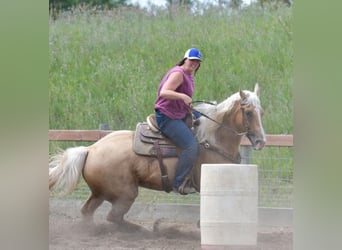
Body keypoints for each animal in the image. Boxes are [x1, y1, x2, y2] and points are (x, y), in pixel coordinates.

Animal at [49, 83, 266, 226]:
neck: (212, 138)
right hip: (125, 193)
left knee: (88, 212)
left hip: (100, 193)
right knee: (113, 217)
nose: (261, 141)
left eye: (261, 112)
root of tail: (91, 149)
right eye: (248, 113)